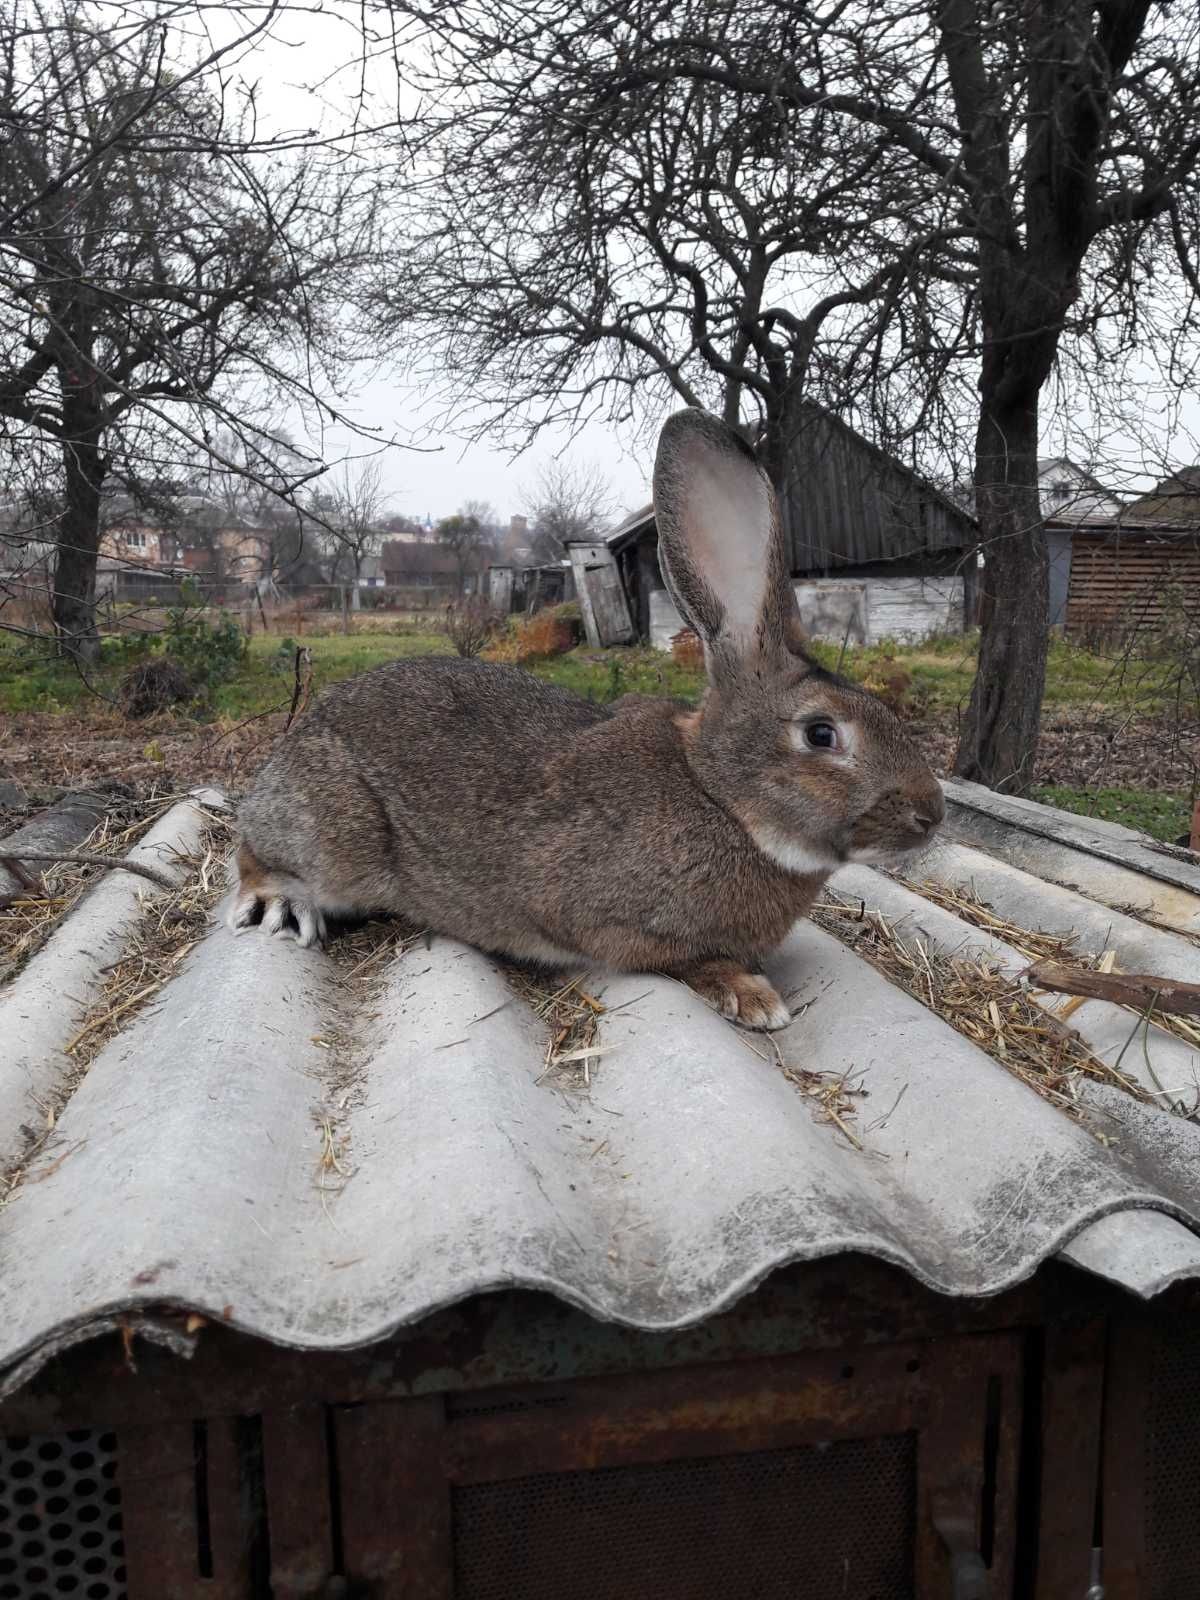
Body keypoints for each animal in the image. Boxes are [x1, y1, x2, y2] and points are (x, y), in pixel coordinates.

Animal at [232, 406, 947, 1030]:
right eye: (821, 733)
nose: (932, 813)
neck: (719, 795)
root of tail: (295, 745)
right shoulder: (597, 918)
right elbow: (679, 957)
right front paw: (752, 997)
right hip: (336, 840)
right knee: (260, 853)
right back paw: (279, 902)